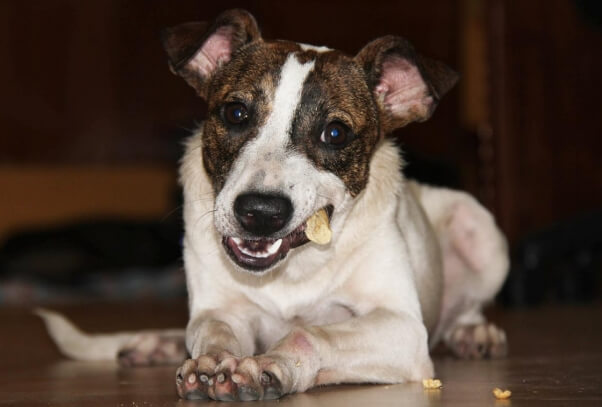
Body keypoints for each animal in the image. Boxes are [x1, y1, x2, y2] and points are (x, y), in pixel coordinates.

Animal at [38, 9, 506, 404]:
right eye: (235, 112)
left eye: (335, 133)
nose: (260, 213)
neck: (293, 268)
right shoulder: (222, 308)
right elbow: (211, 329)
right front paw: (208, 362)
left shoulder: (402, 327)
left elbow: (312, 334)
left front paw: (272, 365)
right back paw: (161, 343)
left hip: (480, 231)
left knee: (464, 308)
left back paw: (473, 332)